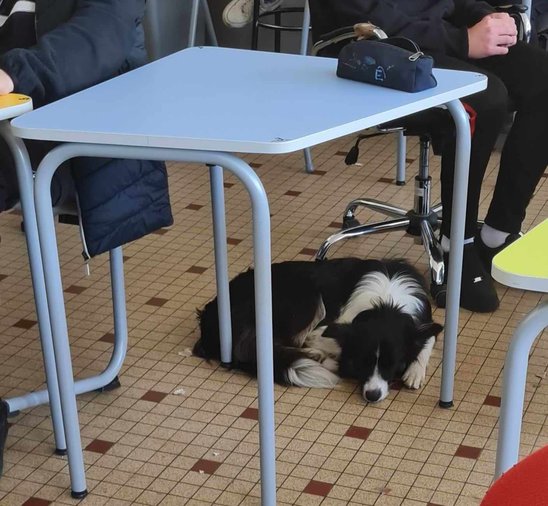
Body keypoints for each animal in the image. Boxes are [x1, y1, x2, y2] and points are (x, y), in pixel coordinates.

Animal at [195, 258, 444, 402]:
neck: (386, 302)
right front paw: (334, 360)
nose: (372, 396)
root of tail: (211, 316)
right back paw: (317, 357)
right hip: (305, 298)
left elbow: (428, 338)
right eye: (362, 363)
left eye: (392, 365)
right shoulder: (326, 328)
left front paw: (415, 371)